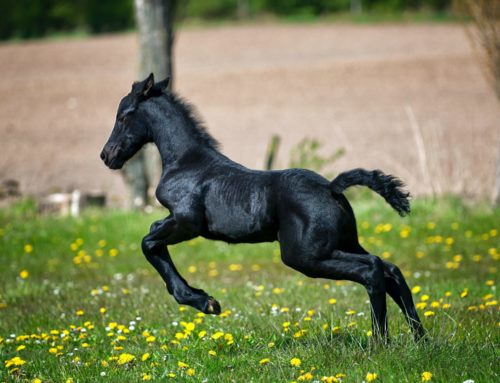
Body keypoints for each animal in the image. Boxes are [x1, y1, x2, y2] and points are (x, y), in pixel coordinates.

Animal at [101, 74, 426, 342]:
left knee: (372, 269)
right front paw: (202, 299)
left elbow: (148, 242)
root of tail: (332, 188)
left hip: (305, 255)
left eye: (123, 116)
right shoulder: (175, 221)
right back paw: (420, 339)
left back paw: (380, 342)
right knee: (390, 269)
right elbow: (153, 237)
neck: (187, 162)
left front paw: (204, 302)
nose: (107, 156)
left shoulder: (186, 222)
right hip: (342, 243)